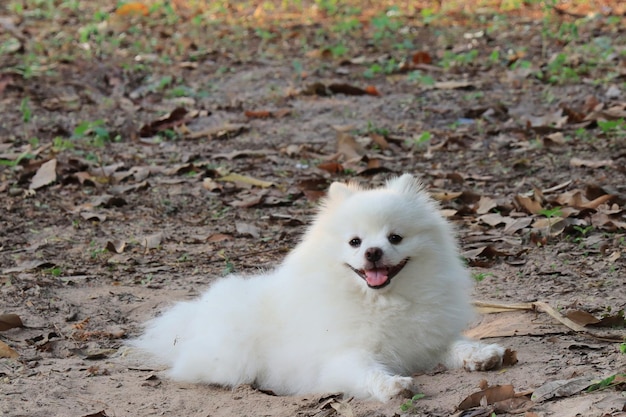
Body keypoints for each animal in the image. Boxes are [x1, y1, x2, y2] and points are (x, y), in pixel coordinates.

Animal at [132, 174, 502, 402]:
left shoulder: (424, 340)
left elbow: (454, 344)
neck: (382, 301)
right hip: (230, 355)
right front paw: (392, 385)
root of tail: (193, 317)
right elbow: (367, 372)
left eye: (395, 237)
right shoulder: (343, 355)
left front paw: (482, 354)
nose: (373, 252)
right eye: (355, 242)